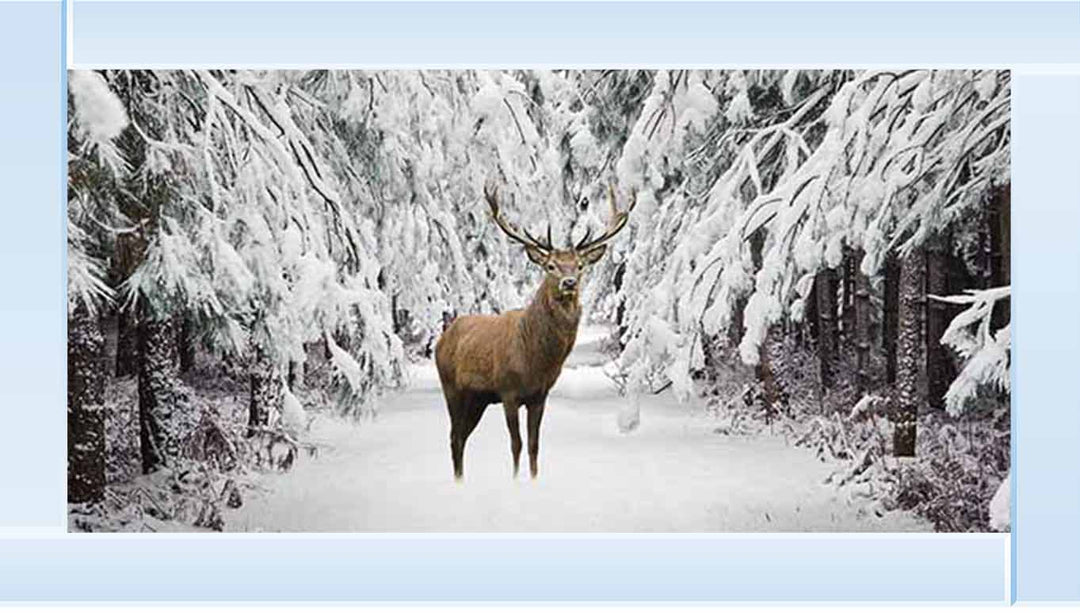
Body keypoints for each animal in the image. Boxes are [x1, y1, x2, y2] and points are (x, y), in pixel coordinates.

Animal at [435, 183, 636, 481]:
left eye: (580, 265)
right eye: (550, 266)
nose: (569, 282)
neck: (535, 360)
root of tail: (443, 337)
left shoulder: (539, 395)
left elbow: (533, 445)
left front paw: (533, 479)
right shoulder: (508, 391)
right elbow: (516, 444)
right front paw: (516, 481)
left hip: (477, 399)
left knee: (461, 437)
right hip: (452, 388)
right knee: (454, 437)